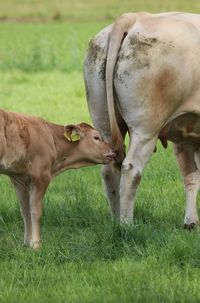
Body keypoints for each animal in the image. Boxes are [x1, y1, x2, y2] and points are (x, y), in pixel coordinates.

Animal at [0, 110, 115, 249]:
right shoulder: (41, 176)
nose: (113, 153)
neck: (50, 137)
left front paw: (27, 243)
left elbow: (25, 211)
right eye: (96, 137)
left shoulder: (18, 179)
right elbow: (36, 211)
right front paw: (36, 245)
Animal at [84, 12, 200, 230]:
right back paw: (127, 226)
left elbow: (190, 176)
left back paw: (116, 221)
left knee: (110, 171)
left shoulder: (184, 137)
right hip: (146, 127)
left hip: (104, 124)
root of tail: (133, 17)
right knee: (131, 170)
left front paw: (190, 222)